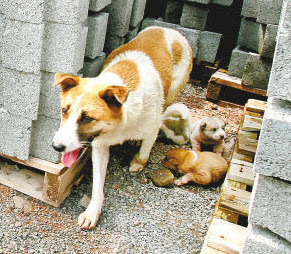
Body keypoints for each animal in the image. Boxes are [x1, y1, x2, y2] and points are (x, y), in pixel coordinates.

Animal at [52, 26, 194, 230]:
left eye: (86, 118)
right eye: (64, 110)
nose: (56, 147)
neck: (120, 124)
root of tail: (168, 28)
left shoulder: (152, 127)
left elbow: (144, 151)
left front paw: (138, 162)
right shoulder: (100, 145)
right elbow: (97, 185)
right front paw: (92, 211)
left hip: (173, 89)